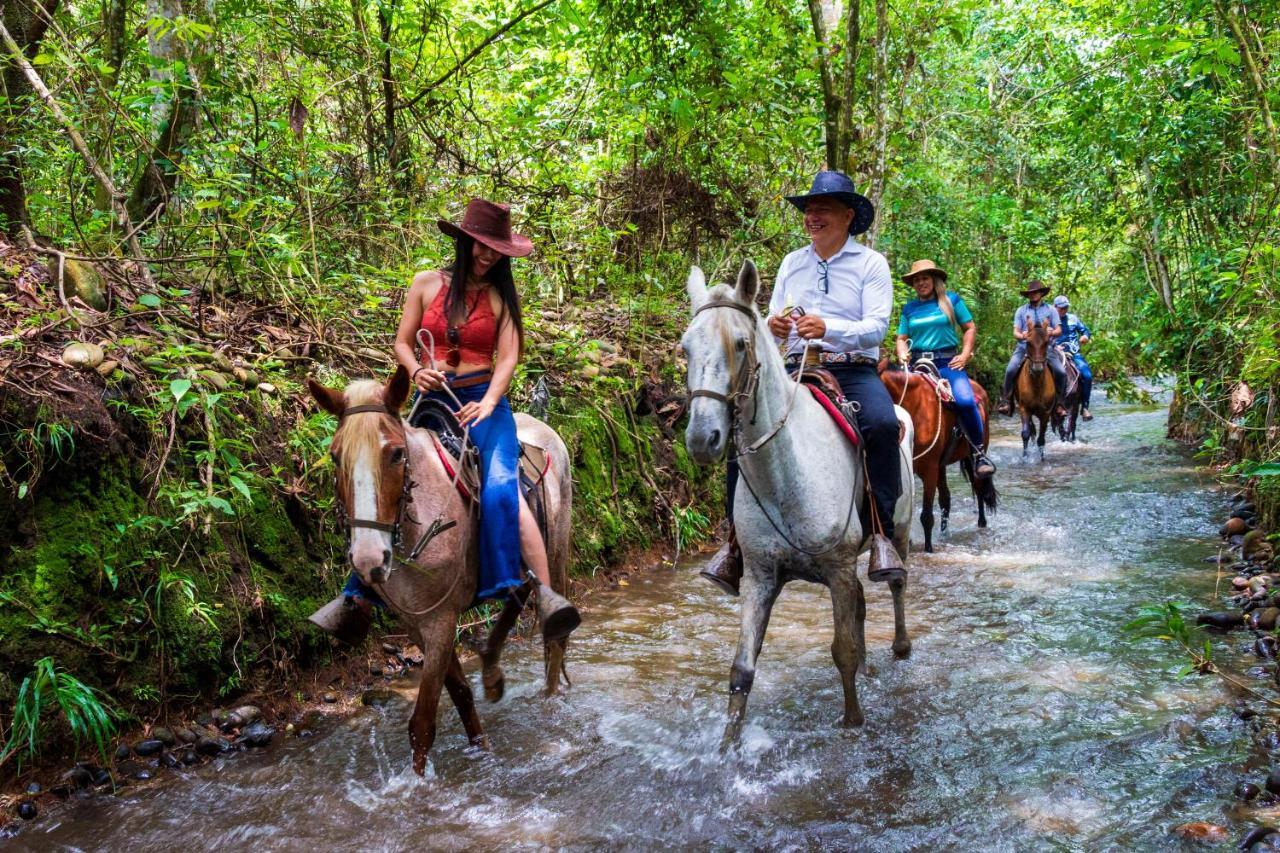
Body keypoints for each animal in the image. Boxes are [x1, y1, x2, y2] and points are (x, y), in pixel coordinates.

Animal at [307, 363, 573, 768]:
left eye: (396, 454)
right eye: (336, 456)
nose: (369, 559)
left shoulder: (441, 620)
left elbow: (423, 722)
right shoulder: (415, 622)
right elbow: (460, 692)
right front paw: (481, 746)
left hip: (556, 553)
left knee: (553, 638)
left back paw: (548, 702)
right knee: (517, 592)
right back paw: (491, 668)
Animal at [686, 261, 916, 742]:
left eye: (740, 343)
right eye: (685, 348)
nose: (702, 438)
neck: (787, 473)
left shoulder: (839, 567)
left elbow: (842, 651)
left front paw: (853, 723)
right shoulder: (760, 576)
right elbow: (741, 670)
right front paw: (727, 748)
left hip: (900, 533)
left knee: (898, 584)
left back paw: (900, 645)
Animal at [880, 366, 998, 550]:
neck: (916, 407)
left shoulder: (929, 470)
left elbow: (926, 515)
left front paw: (928, 549)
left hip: (972, 457)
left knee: (979, 488)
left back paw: (981, 523)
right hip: (941, 466)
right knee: (946, 499)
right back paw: (944, 534)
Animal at [1013, 315, 1054, 458]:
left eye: (1046, 343)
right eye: (1028, 343)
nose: (1037, 369)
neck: (1036, 384)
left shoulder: (1046, 413)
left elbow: (1041, 438)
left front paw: (1041, 456)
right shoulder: (1024, 409)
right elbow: (1025, 434)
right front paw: (1025, 457)